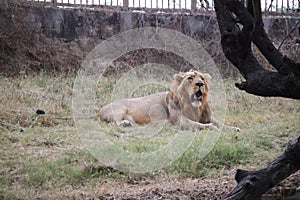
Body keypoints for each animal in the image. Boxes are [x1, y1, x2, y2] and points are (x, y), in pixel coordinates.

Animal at [99, 69, 240, 132]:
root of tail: (100, 110)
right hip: (119, 108)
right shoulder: (180, 121)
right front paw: (214, 128)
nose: (200, 84)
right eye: (190, 78)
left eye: (202, 78)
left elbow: (219, 123)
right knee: (115, 122)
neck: (194, 106)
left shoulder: (206, 116)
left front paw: (233, 128)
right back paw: (125, 124)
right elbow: (202, 125)